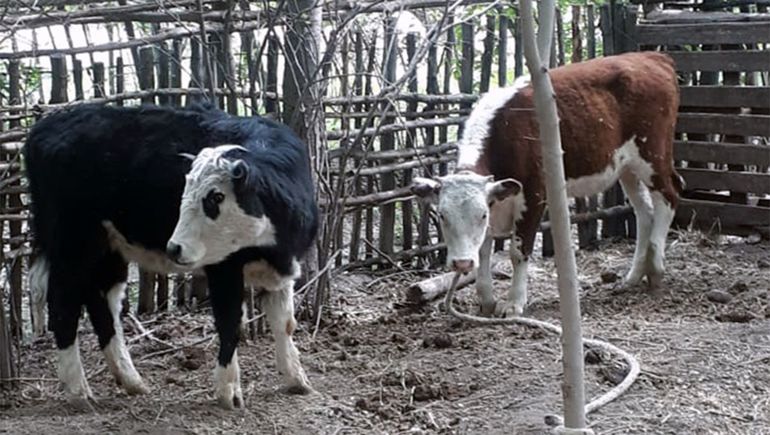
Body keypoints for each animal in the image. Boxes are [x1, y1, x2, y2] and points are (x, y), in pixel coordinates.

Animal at [24, 102, 318, 409]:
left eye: (216, 197)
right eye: (184, 190)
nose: (174, 247)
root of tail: (47, 125)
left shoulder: (283, 269)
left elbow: (285, 323)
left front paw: (296, 379)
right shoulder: (223, 269)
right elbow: (230, 324)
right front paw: (229, 392)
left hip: (108, 250)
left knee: (103, 303)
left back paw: (131, 380)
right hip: (72, 246)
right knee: (63, 304)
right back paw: (78, 391)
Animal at [411, 51, 683, 317]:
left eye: (481, 215)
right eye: (442, 216)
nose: (461, 264)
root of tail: (652, 57)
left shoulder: (533, 193)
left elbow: (518, 251)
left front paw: (514, 303)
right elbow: (483, 251)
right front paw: (486, 300)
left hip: (653, 153)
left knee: (669, 195)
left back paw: (656, 267)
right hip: (626, 167)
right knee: (644, 212)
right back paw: (633, 276)